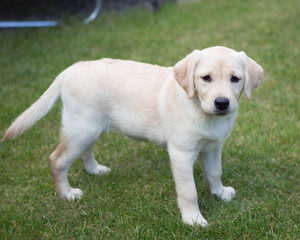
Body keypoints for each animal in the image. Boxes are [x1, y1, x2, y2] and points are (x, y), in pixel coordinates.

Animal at [1, 46, 262, 226]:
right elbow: (189, 191)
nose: (222, 103)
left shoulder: (212, 147)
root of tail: (71, 69)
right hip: (81, 128)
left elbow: (214, 172)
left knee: (85, 151)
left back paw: (94, 170)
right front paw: (193, 220)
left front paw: (220, 193)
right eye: (205, 78)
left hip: (91, 127)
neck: (200, 108)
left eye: (235, 79)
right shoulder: (181, 153)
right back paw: (67, 193)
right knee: (57, 160)